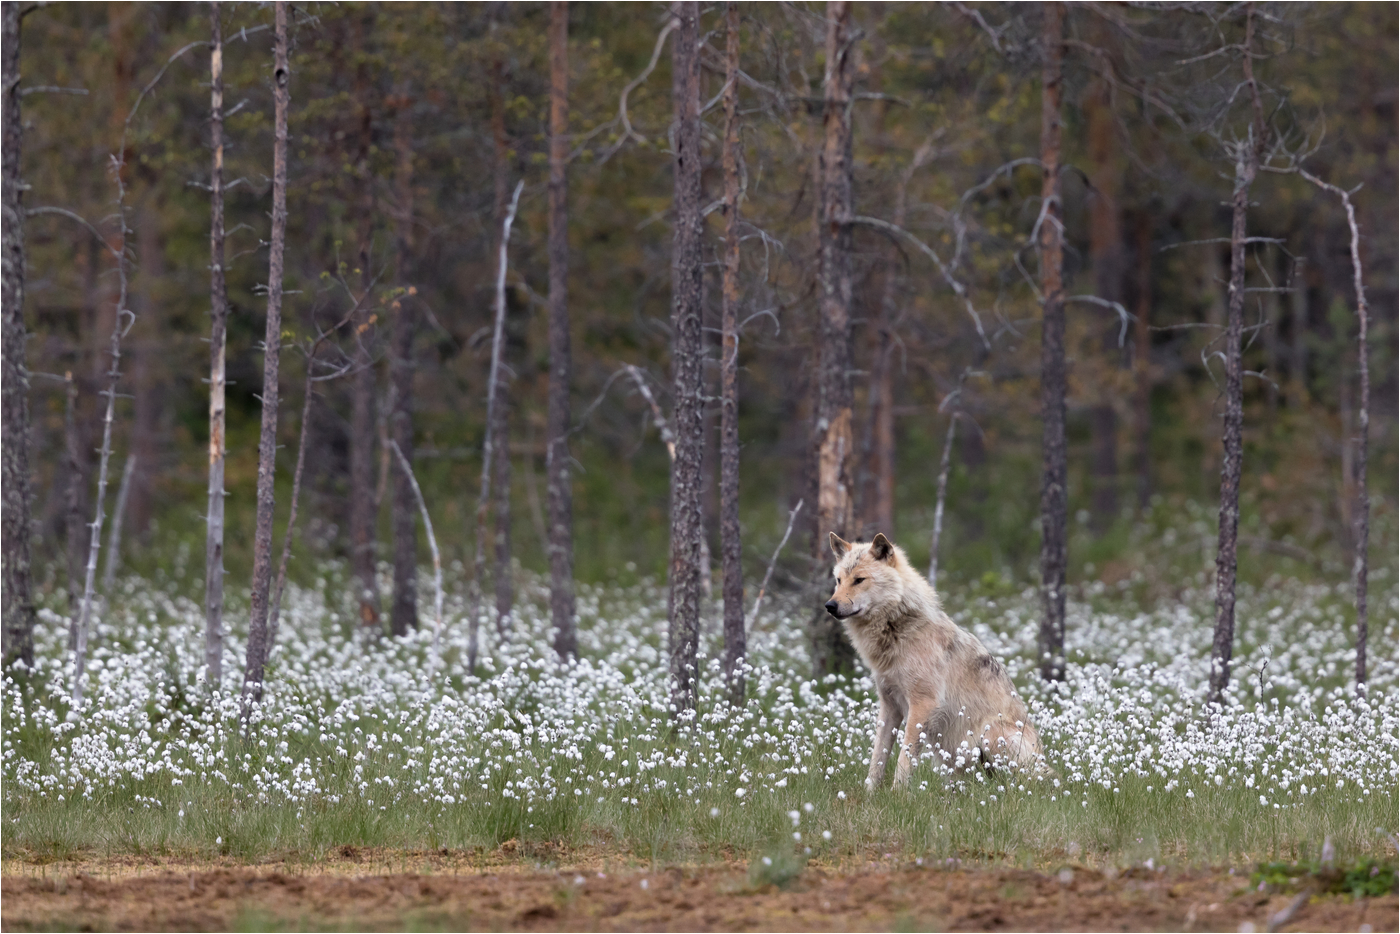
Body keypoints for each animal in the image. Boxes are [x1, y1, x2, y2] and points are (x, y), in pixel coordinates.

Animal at [823, 532, 1047, 789]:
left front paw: (897, 794)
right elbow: (877, 758)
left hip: (990, 736)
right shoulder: (890, 706)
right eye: (839, 580)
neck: (897, 631)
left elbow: (904, 758)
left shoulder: (923, 705)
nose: (830, 606)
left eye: (859, 580)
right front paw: (870, 793)